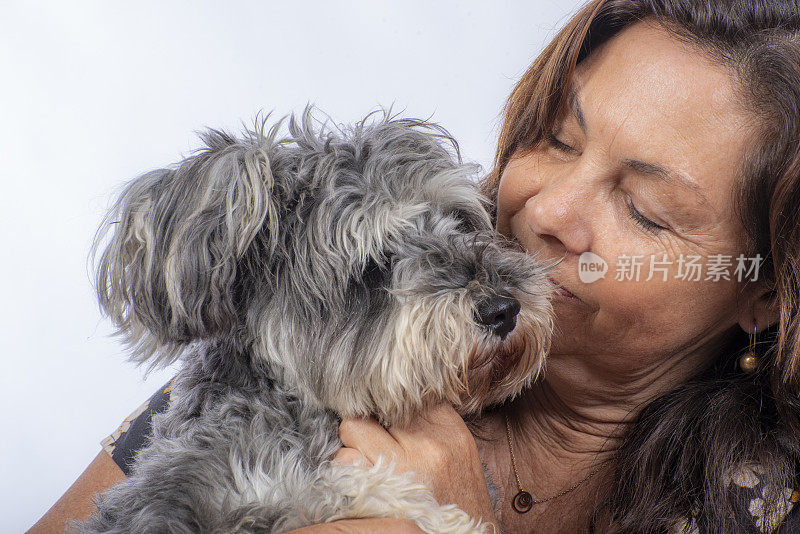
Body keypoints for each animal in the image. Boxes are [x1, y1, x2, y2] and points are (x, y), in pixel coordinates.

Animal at [75, 110, 552, 534]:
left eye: (459, 220)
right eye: (373, 264)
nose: (503, 310)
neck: (293, 404)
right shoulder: (193, 506)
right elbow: (325, 493)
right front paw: (447, 520)